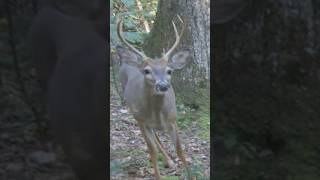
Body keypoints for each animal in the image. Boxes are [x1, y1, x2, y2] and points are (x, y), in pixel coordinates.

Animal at [117, 16, 194, 179]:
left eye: (169, 71)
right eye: (147, 71)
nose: (163, 85)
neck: (158, 113)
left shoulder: (173, 119)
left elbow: (180, 149)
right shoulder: (142, 121)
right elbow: (151, 150)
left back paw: (170, 162)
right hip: (136, 115)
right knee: (154, 140)